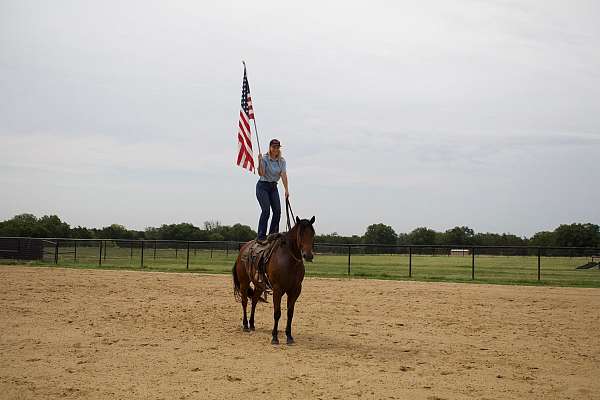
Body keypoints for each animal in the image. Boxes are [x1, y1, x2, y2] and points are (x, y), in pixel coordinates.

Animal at [232, 216, 316, 344]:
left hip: (259, 285)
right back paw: (246, 325)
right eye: (301, 234)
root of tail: (243, 250)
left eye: (312, 233)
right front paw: (275, 337)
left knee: (254, 301)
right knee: (245, 301)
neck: (289, 259)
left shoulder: (295, 290)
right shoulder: (277, 289)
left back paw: (252, 324)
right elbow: (277, 313)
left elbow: (290, 313)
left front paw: (289, 336)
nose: (308, 255)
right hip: (244, 282)